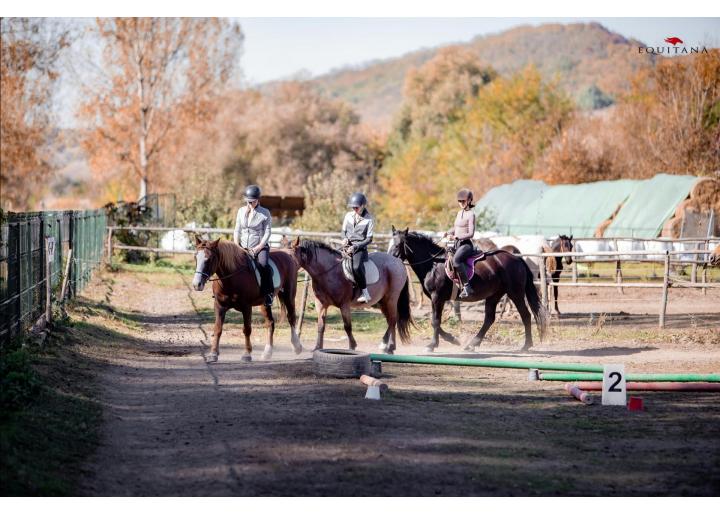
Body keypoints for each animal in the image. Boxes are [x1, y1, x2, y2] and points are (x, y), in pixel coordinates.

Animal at [390, 228, 548, 352]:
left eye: (397, 245)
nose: (390, 260)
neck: (433, 264)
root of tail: (516, 258)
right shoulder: (436, 299)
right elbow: (436, 322)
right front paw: (452, 339)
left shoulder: (437, 297)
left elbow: (435, 321)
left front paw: (432, 345)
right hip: (494, 295)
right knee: (489, 319)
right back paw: (472, 344)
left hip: (515, 293)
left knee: (525, 315)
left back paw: (526, 345)